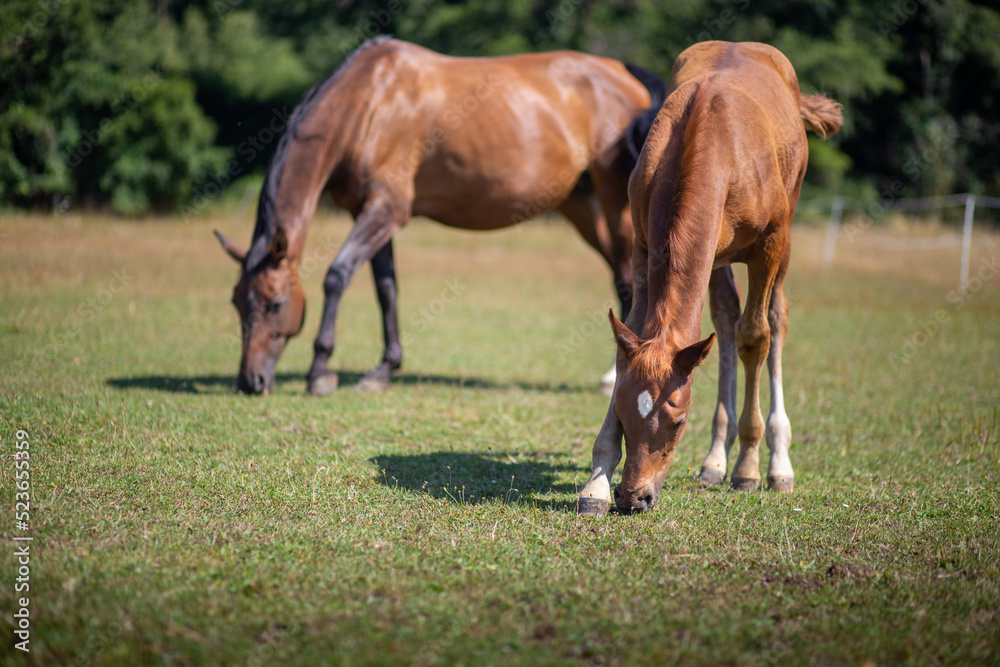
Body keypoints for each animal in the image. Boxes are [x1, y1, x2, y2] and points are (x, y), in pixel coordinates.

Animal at [213, 37, 664, 396]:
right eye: (235, 303)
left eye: (275, 304)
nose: (250, 382)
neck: (368, 102)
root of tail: (626, 74)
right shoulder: (373, 213)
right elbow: (386, 288)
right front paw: (383, 370)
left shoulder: (385, 210)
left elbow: (337, 276)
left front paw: (320, 371)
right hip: (583, 207)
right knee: (622, 279)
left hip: (614, 204)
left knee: (631, 279)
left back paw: (617, 375)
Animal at [576, 41, 840, 520]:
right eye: (622, 412)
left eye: (678, 421)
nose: (634, 497)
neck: (710, 142)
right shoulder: (644, 248)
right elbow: (633, 341)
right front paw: (596, 487)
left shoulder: (768, 245)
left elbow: (756, 336)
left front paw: (749, 467)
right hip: (714, 257)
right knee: (724, 319)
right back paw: (715, 460)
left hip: (785, 235)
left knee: (774, 320)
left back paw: (777, 462)